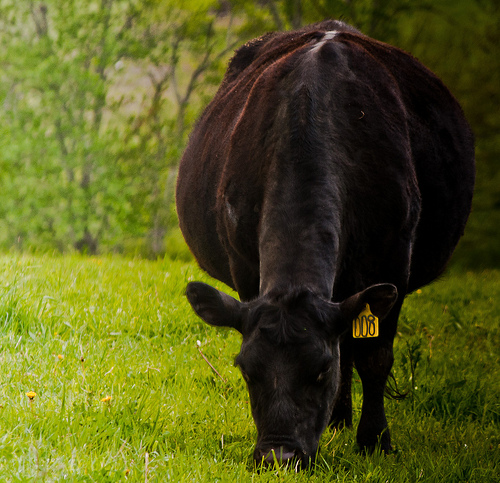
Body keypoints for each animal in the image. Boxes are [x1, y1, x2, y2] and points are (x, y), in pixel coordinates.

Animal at [175, 20, 472, 466]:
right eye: (245, 369)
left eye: (320, 369)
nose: (278, 456)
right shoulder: (244, 265)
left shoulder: (392, 260)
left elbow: (375, 356)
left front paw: (375, 440)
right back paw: (337, 420)